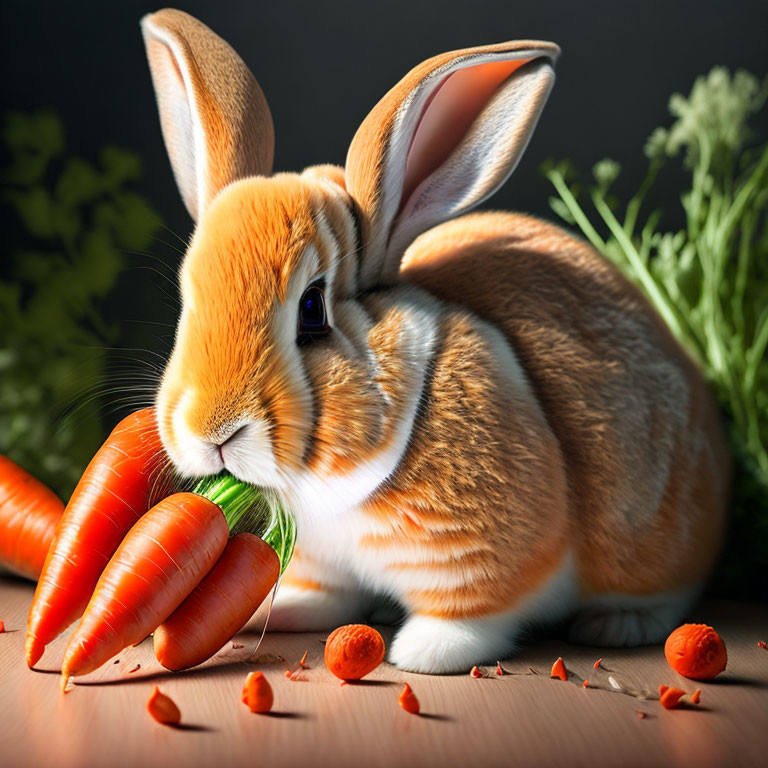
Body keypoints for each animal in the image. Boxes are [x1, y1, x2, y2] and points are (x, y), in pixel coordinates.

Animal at [141, 10, 728, 672]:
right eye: (188, 302)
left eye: (312, 310)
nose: (211, 432)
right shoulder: (326, 566)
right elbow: (326, 595)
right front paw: (289, 609)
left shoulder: (482, 556)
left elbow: (473, 616)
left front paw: (422, 654)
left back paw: (618, 626)